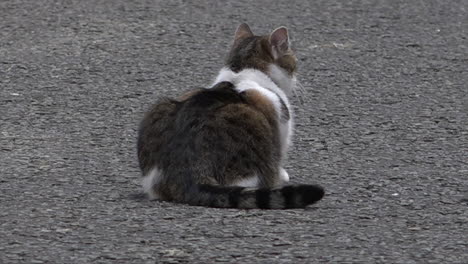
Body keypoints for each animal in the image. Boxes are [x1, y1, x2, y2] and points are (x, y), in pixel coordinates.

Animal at [137, 23, 324, 208]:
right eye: (294, 61)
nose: (296, 80)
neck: (242, 71)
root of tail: (189, 174)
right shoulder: (282, 124)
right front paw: (283, 174)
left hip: (159, 108)